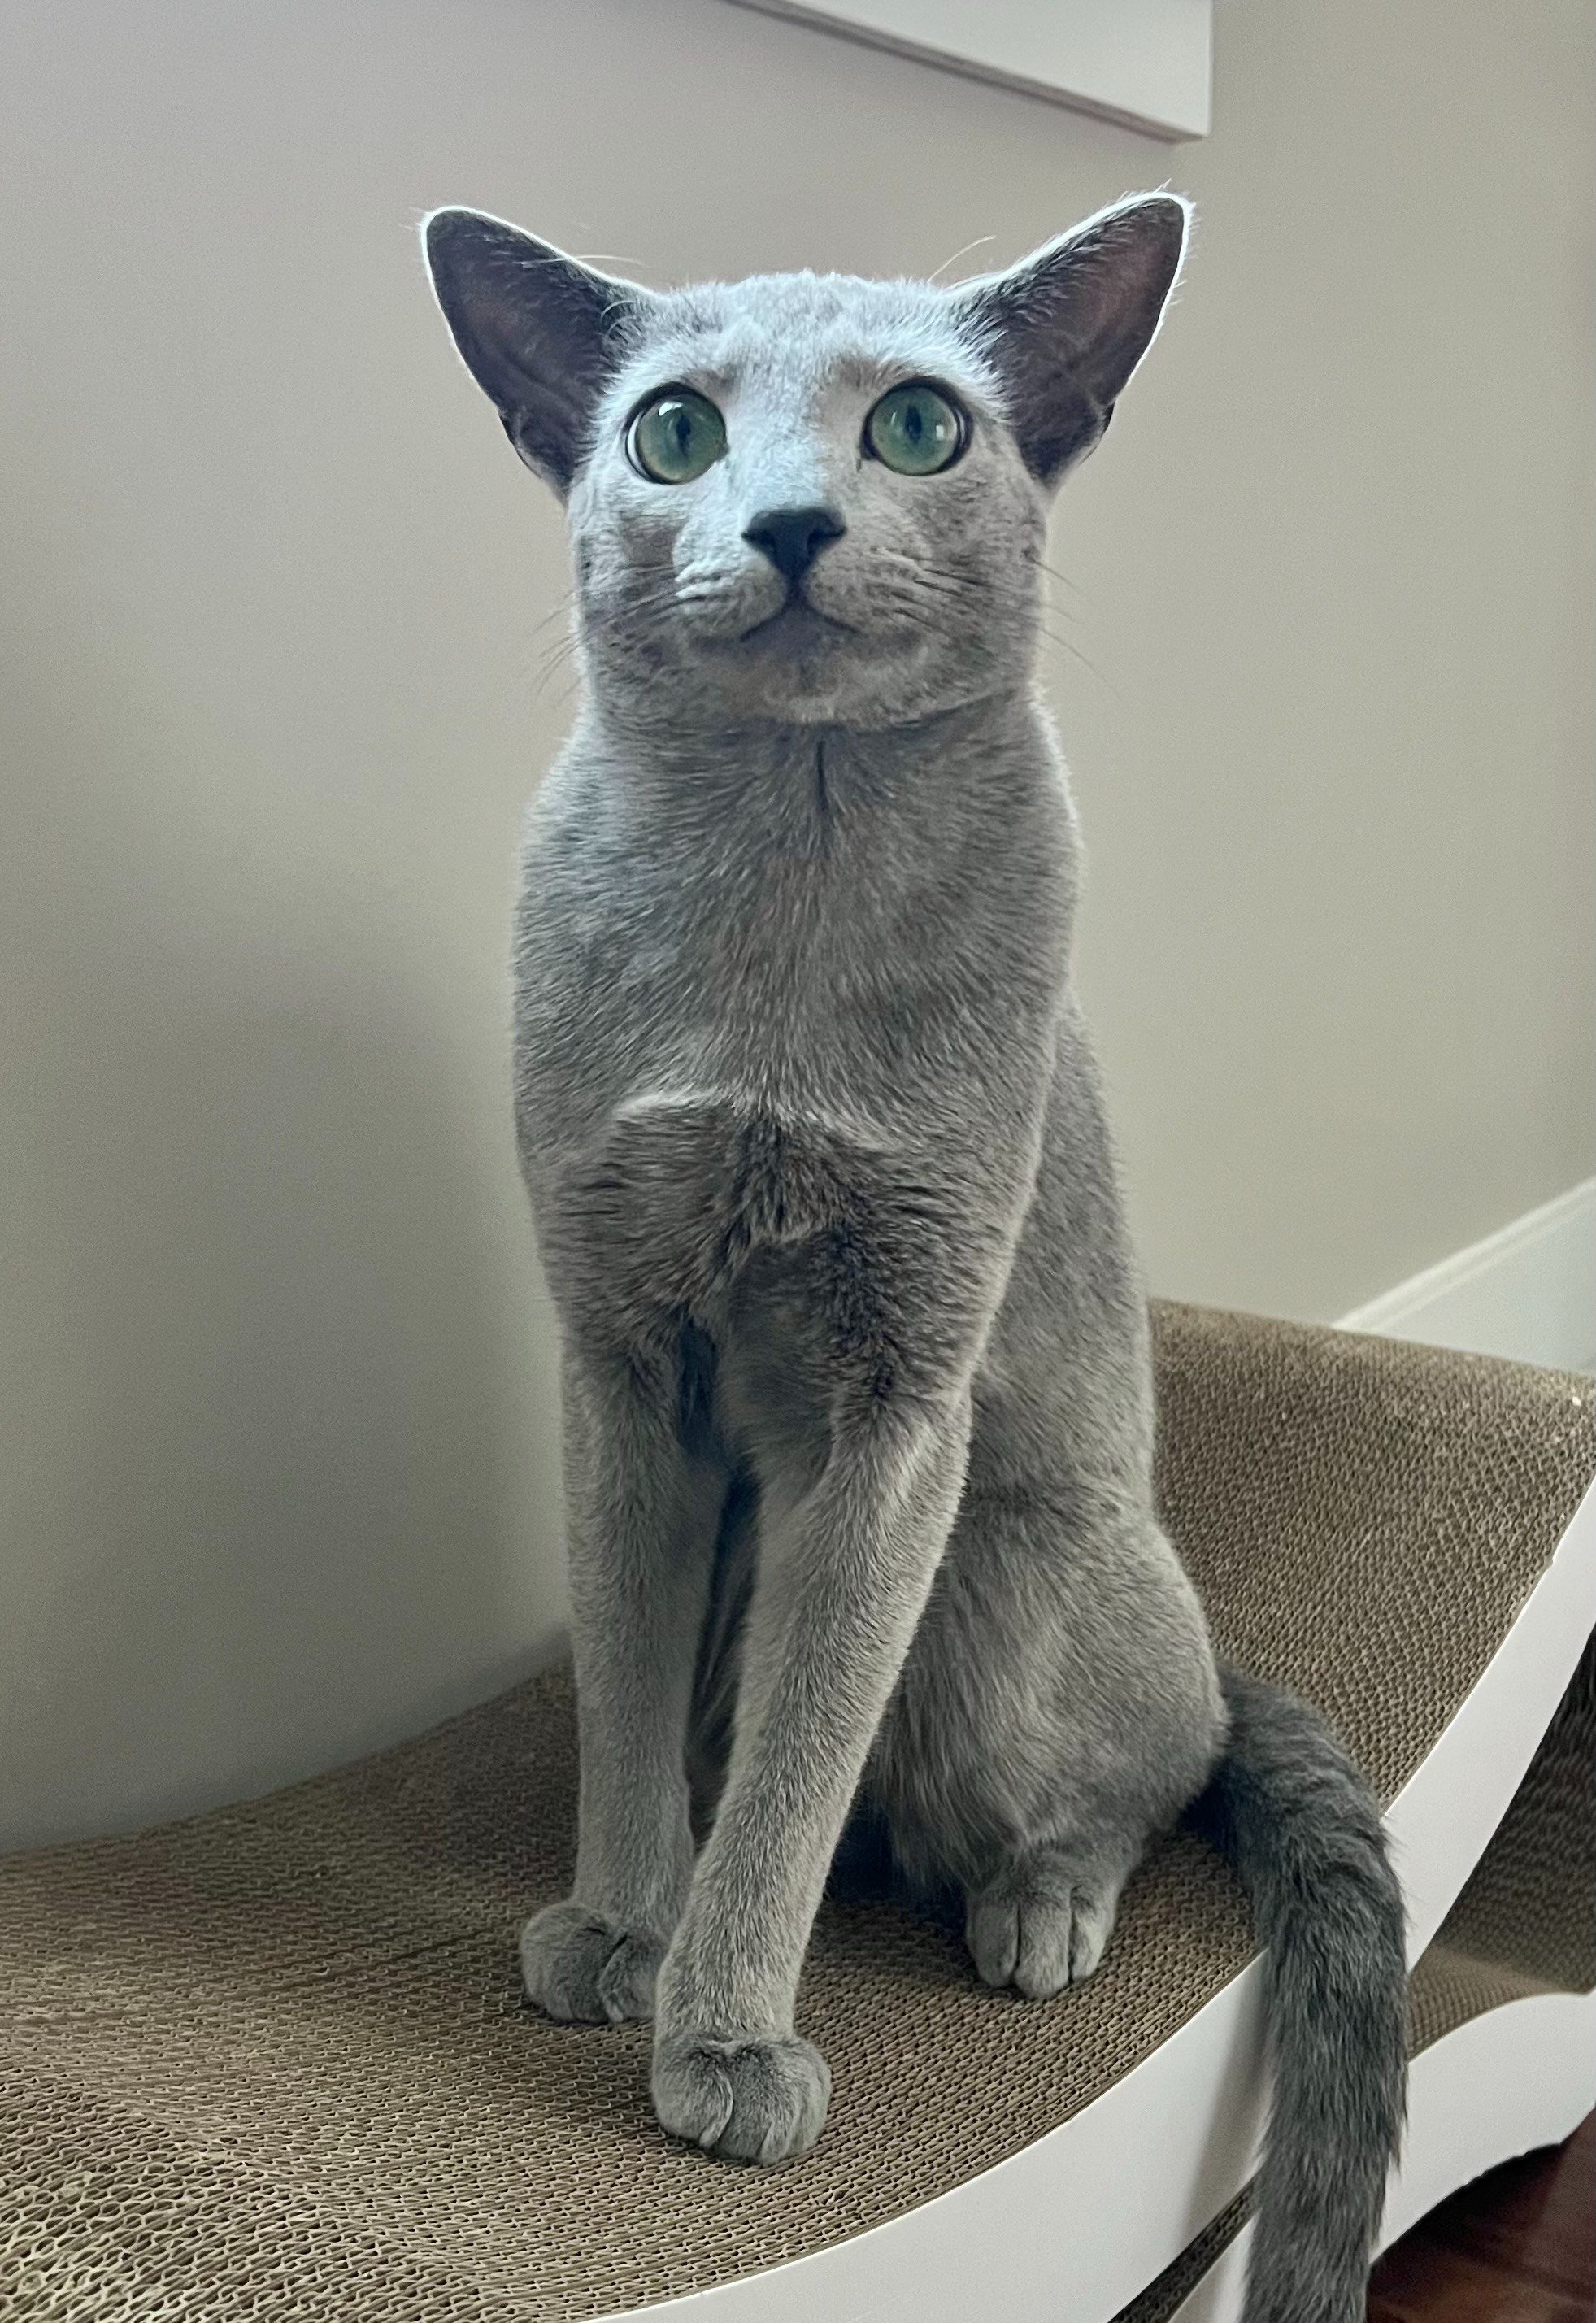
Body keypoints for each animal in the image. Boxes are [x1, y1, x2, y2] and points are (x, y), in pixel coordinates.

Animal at [421, 193, 1406, 2323]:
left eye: (921, 429)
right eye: (676, 433)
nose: (790, 521)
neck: (777, 902)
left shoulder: (898, 1403)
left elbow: (801, 1773)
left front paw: (721, 2039)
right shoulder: (619, 1363)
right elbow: (634, 1705)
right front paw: (620, 1933)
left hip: (1009, 1580)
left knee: (1125, 1777)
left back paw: (1036, 1915)